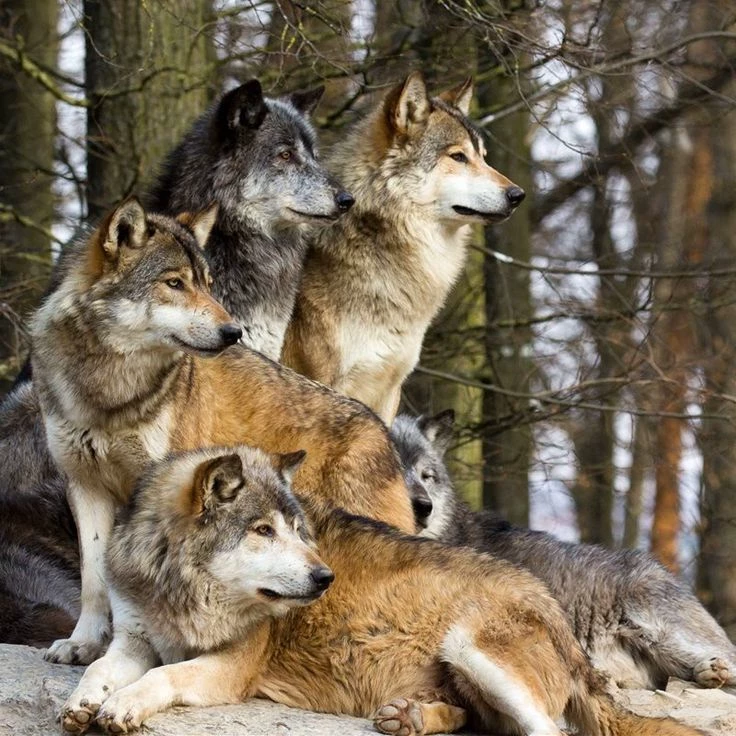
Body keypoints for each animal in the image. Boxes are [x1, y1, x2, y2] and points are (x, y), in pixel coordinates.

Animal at [31, 198, 415, 666]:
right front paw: (83, 644)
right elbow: (93, 579)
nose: (233, 332)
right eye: (174, 283)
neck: (110, 392)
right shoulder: (85, 487)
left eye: (208, 284)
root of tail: (382, 429)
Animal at [61, 446, 701, 736]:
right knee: (481, 724)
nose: (324, 578)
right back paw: (410, 717)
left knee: (546, 732)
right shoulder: (134, 638)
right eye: (263, 531)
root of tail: (559, 615)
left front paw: (121, 707)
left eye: (298, 530)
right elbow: (100, 669)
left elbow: (163, 677)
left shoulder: (230, 668)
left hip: (472, 647)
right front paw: (85, 702)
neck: (181, 591)